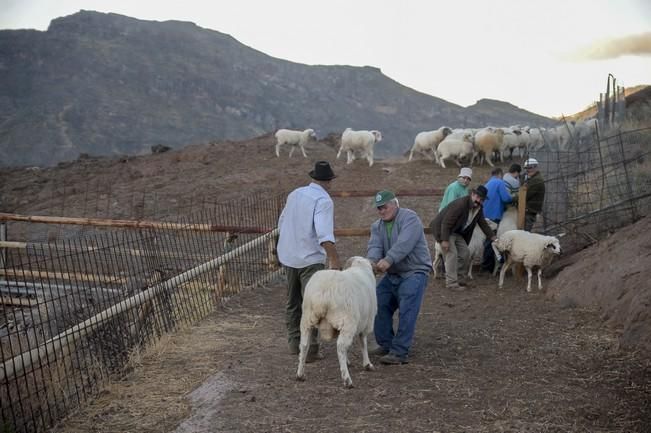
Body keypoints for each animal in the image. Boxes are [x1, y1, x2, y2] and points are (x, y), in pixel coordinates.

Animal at [296, 255, 376, 386]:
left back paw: (300, 374)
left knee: (304, 345)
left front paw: (349, 361)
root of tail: (322, 293)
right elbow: (363, 343)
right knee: (341, 347)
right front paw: (367, 364)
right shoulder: (366, 324)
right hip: (348, 322)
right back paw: (347, 379)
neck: (360, 267)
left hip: (307, 319)